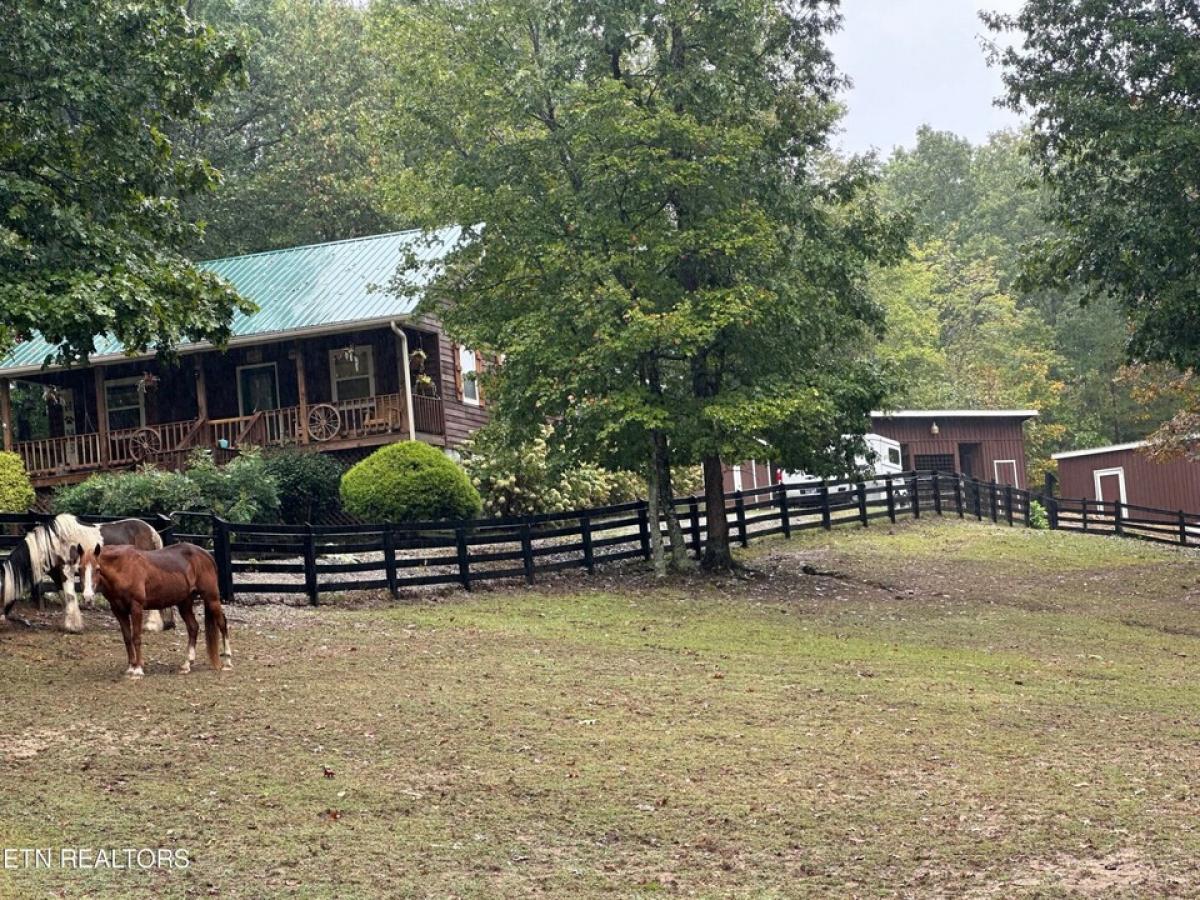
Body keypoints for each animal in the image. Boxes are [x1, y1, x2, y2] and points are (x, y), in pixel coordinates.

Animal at [77, 540, 234, 681]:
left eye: (97, 569)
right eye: (79, 569)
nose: (87, 597)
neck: (123, 568)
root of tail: (207, 555)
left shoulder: (136, 608)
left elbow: (136, 637)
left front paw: (138, 670)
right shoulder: (119, 611)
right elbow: (127, 638)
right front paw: (131, 667)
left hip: (211, 598)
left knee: (222, 624)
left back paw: (227, 661)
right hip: (185, 603)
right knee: (193, 628)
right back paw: (187, 664)